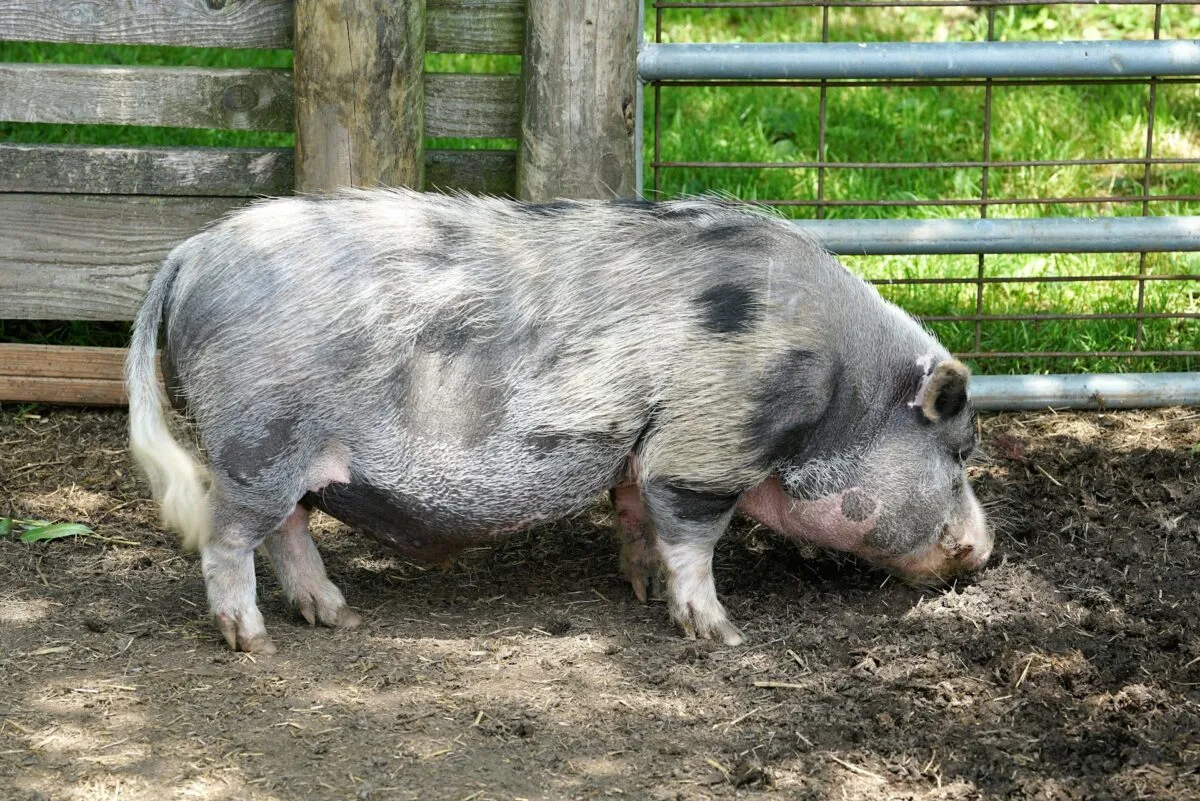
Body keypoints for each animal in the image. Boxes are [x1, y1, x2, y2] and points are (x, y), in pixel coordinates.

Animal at [125, 188, 991, 654]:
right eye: (958, 454)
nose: (987, 549)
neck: (837, 382)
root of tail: (192, 252)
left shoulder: (644, 449)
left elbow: (637, 513)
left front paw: (641, 589)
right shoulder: (706, 443)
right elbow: (693, 540)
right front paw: (720, 632)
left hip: (283, 456)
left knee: (287, 532)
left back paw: (339, 615)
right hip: (255, 442)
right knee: (229, 538)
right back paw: (255, 641)